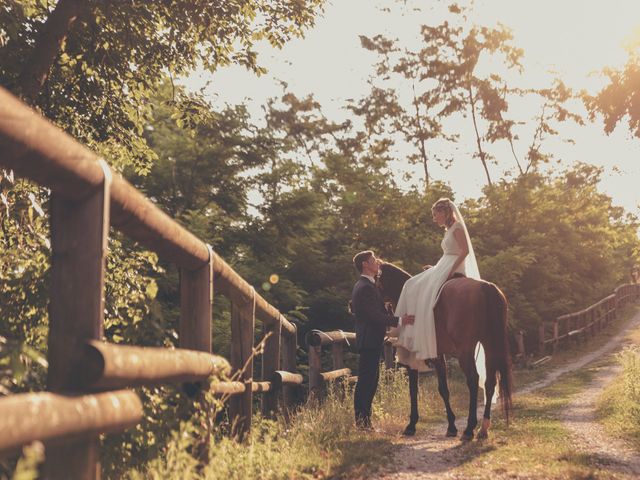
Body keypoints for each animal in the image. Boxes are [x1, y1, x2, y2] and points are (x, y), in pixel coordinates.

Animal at [378, 262, 512, 442]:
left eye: (377, 280)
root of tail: (486, 287)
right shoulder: (438, 356)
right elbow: (444, 389)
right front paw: (451, 426)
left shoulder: (418, 359)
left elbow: (415, 390)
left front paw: (411, 425)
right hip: (489, 346)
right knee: (489, 382)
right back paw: (483, 429)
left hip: (465, 351)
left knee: (473, 380)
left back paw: (469, 429)